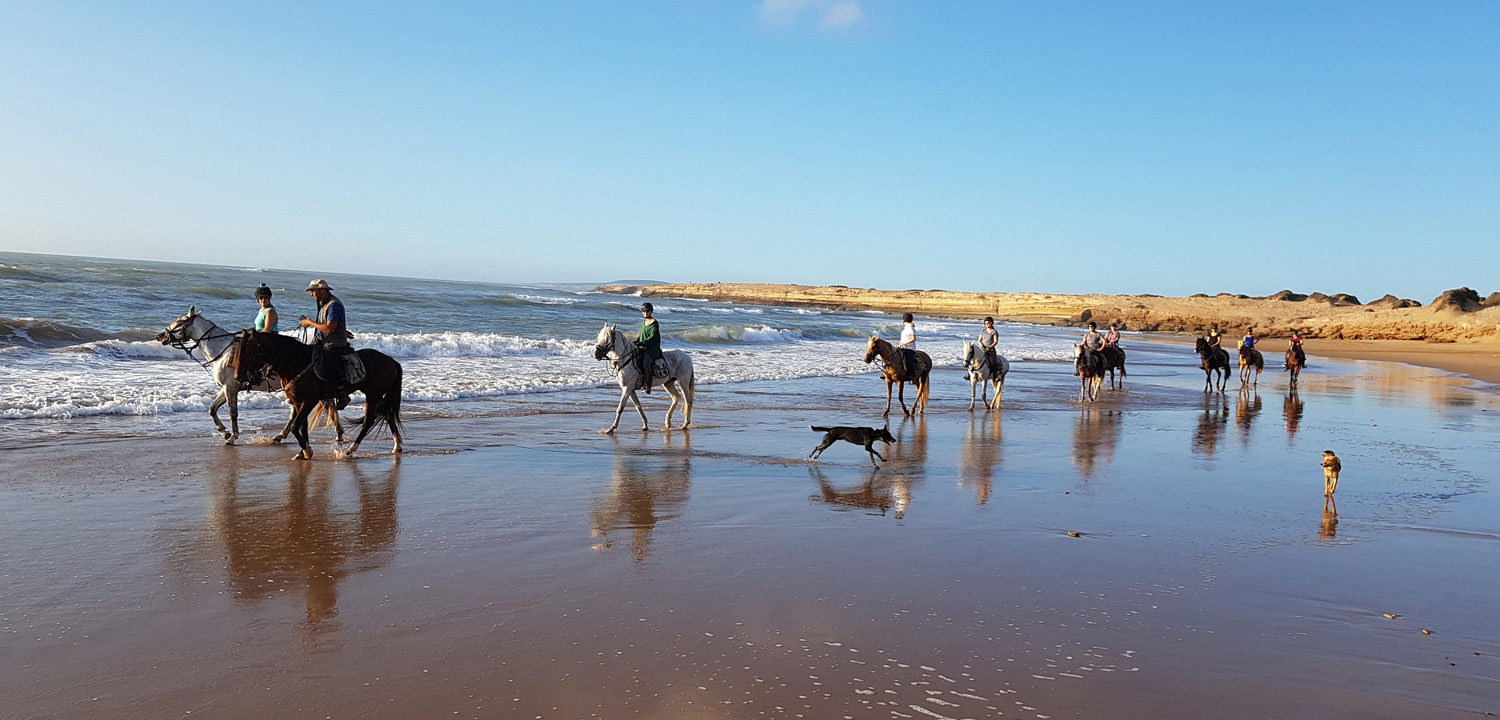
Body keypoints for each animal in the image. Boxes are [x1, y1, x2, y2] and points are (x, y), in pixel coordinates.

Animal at [158, 307, 342, 445]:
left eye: (179, 321)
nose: (160, 336)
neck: (222, 352)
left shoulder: (231, 388)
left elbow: (233, 413)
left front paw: (232, 437)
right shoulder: (227, 388)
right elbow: (212, 409)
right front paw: (224, 433)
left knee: (328, 407)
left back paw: (338, 434)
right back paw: (280, 436)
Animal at [234, 331, 404, 460]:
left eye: (247, 351)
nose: (238, 376)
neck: (296, 362)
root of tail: (392, 361)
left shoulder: (310, 401)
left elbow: (295, 426)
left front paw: (307, 451)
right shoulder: (298, 402)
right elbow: (302, 427)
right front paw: (303, 451)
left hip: (373, 395)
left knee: (368, 422)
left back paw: (350, 450)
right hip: (377, 396)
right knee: (387, 415)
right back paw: (397, 445)